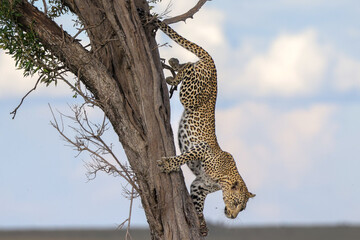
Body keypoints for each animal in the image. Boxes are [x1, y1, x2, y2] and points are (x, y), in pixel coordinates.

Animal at [141, 12, 256, 236]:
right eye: (236, 203)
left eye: (242, 208)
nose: (233, 216)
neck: (223, 179)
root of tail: (213, 64)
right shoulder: (201, 149)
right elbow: (182, 157)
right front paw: (167, 164)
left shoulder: (199, 186)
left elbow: (198, 206)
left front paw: (202, 225)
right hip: (191, 95)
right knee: (189, 67)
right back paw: (174, 72)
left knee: (189, 64)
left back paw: (173, 64)